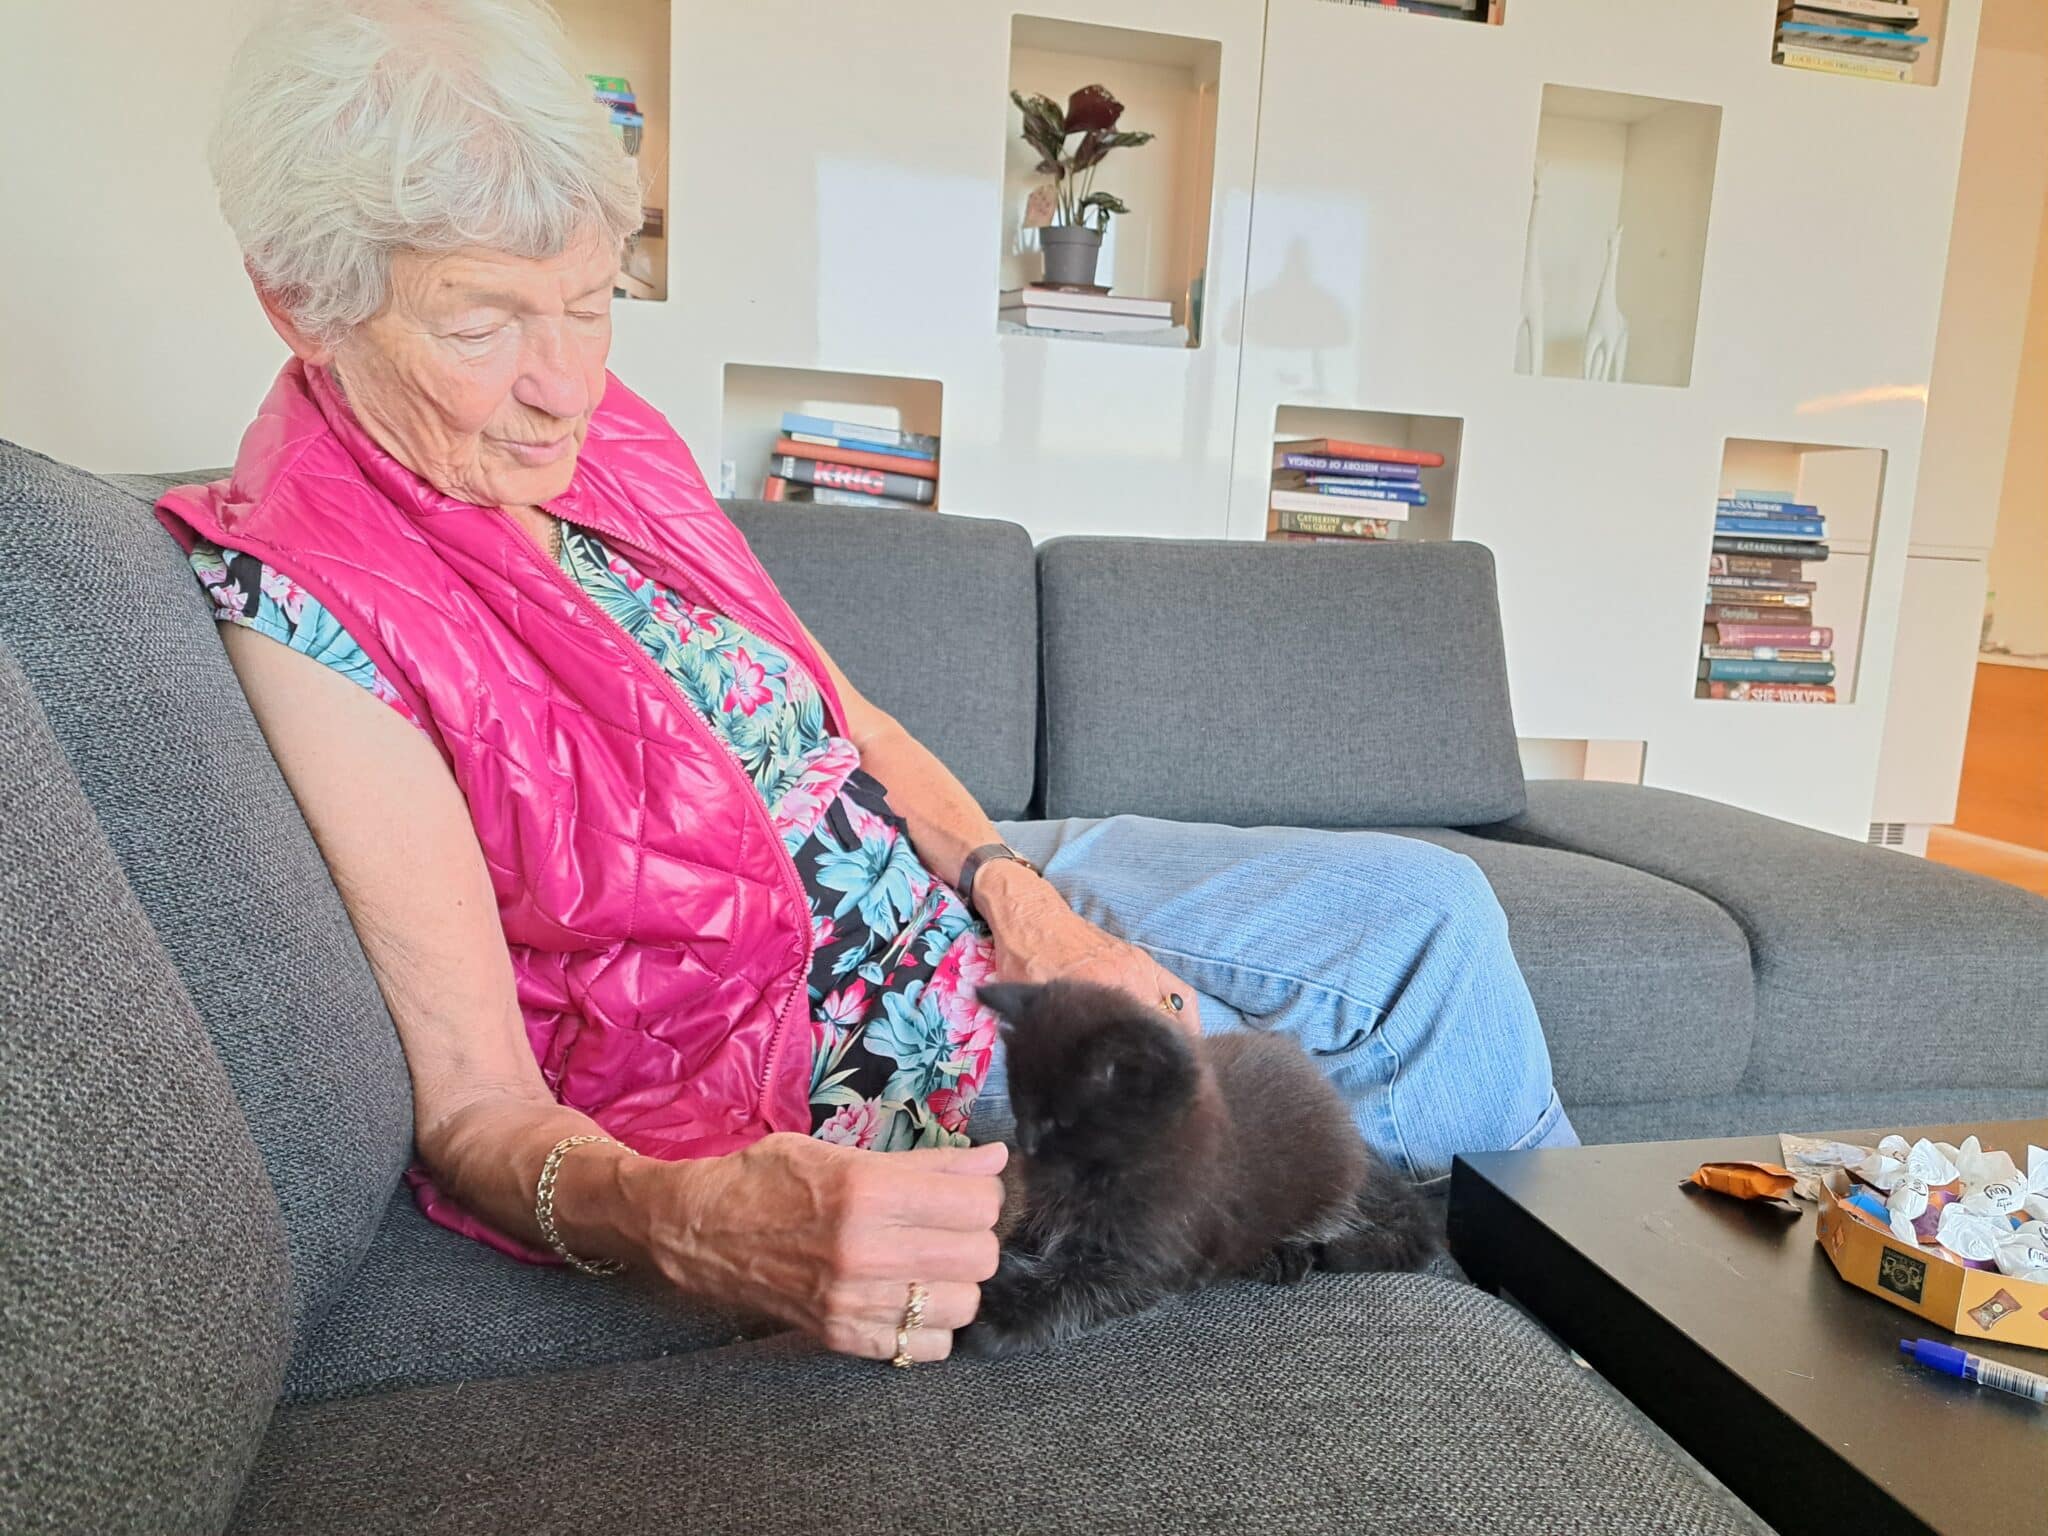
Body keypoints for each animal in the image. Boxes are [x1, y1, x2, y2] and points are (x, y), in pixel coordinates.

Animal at [958, 979, 1436, 1358]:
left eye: (1060, 1120)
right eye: (1020, 1104)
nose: (1024, 1140)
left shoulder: (1156, 1250)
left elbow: (1081, 1290)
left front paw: (998, 1316)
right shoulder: (1048, 1211)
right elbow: (1031, 1238)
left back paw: (1282, 1255)